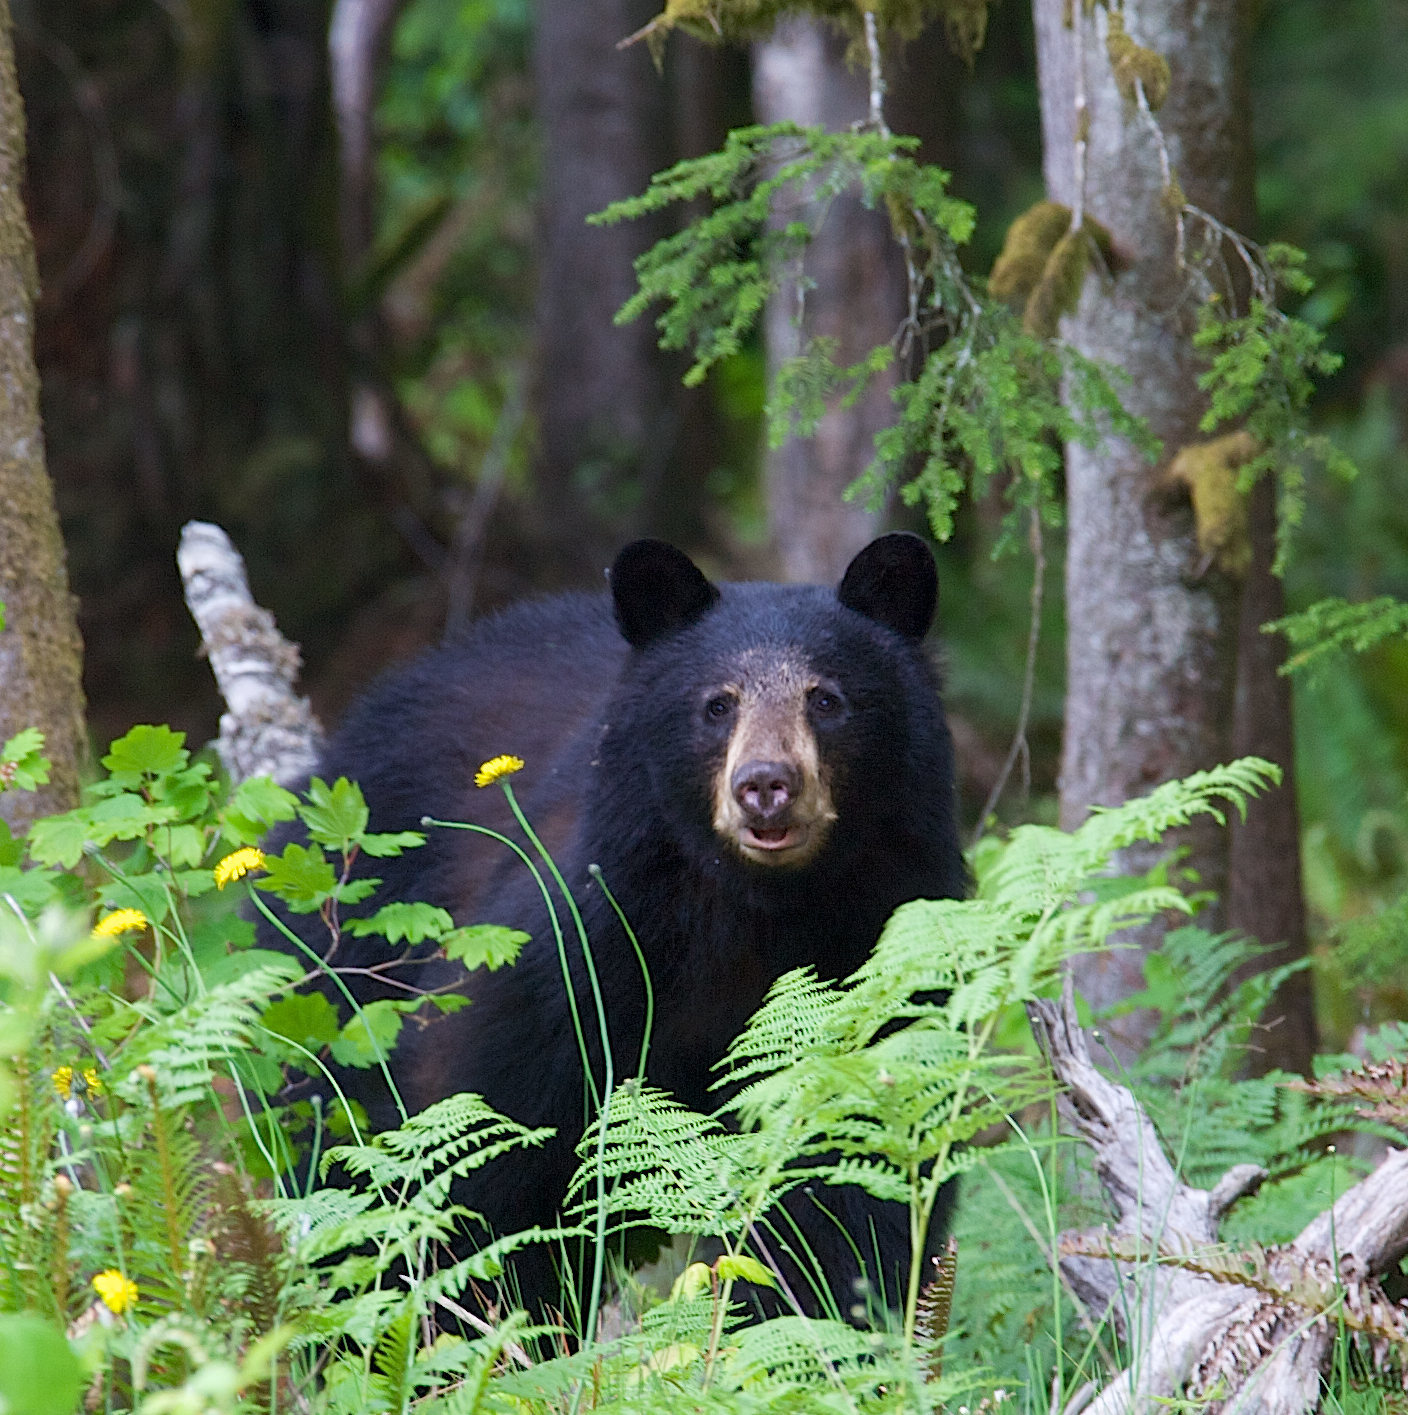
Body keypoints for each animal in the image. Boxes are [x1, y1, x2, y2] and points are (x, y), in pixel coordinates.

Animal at [264, 533, 966, 1323]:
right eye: (716, 704)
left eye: (827, 698)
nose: (765, 784)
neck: (753, 914)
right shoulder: (577, 961)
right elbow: (477, 1151)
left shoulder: (879, 954)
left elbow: (847, 1177)